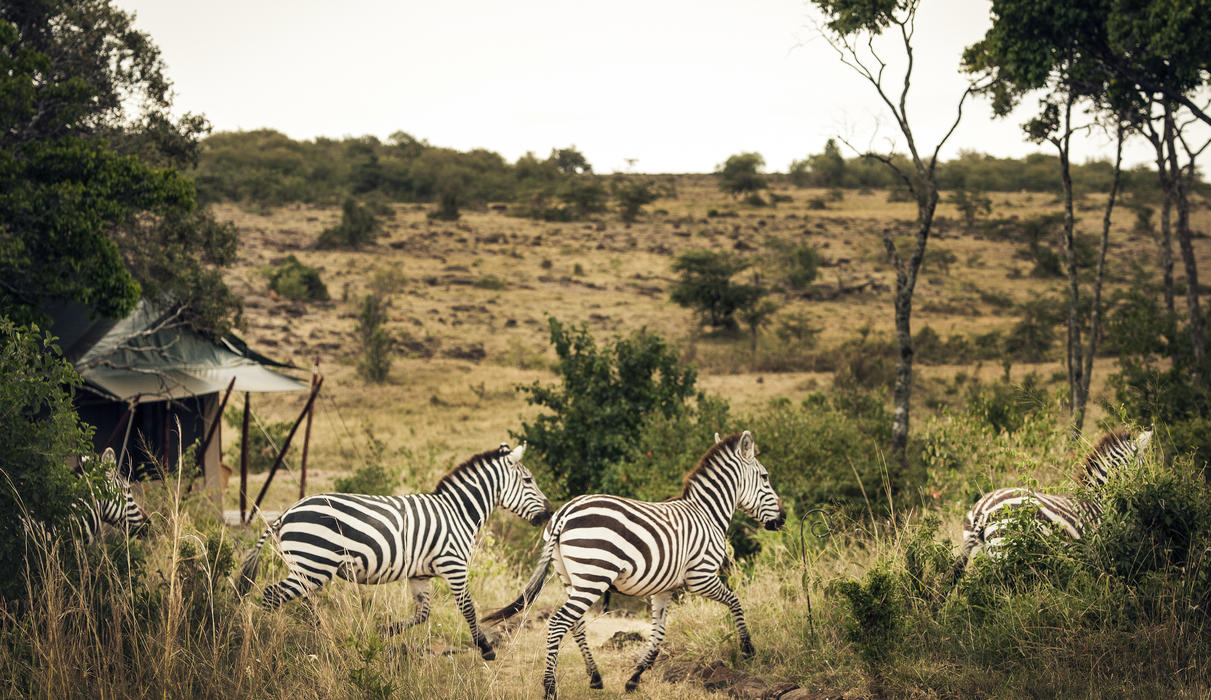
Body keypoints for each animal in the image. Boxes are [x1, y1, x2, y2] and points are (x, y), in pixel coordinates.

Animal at [232, 438, 554, 658]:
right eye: (529, 480)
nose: (550, 513)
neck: (458, 512)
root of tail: (287, 511)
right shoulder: (454, 566)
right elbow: (469, 609)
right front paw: (485, 648)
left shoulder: (419, 575)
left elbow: (423, 614)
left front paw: (385, 631)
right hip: (312, 565)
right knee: (271, 595)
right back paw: (265, 639)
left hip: (308, 567)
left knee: (294, 601)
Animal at [481, 428, 784, 692]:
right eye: (765, 477)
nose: (782, 519)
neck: (707, 514)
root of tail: (565, 512)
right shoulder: (702, 577)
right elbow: (735, 601)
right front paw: (747, 648)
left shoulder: (664, 588)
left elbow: (658, 633)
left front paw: (635, 678)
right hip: (594, 576)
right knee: (558, 623)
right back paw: (550, 687)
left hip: (570, 577)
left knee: (575, 624)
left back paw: (595, 678)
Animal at [944, 426, 1152, 576]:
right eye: (1145, 465)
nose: (1150, 493)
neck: (1097, 497)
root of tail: (982, 511)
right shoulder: (1097, 549)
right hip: (1004, 548)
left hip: (981, 554)